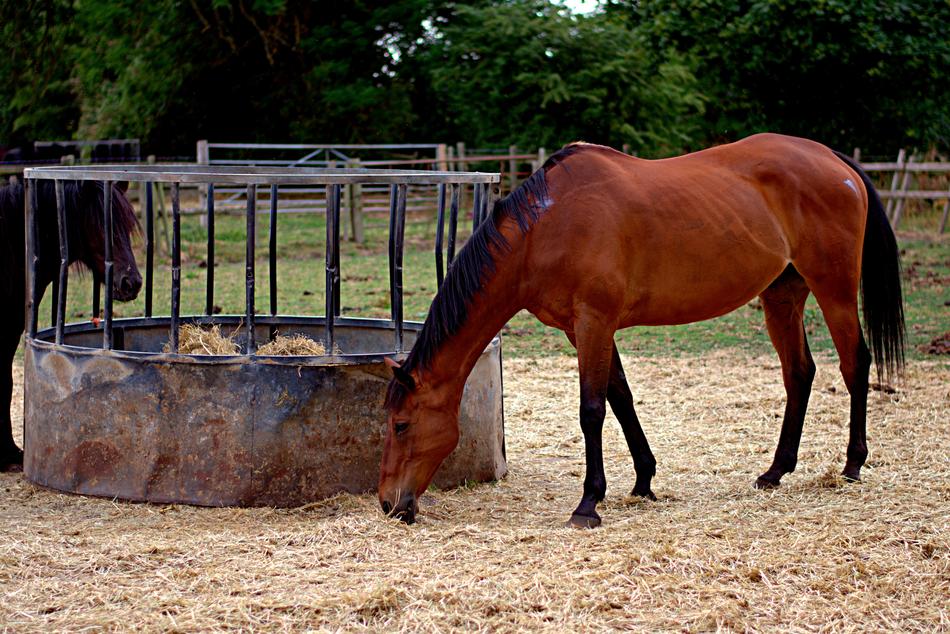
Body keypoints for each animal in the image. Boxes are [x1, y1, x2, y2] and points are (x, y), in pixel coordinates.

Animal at [378, 133, 904, 527]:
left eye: (401, 424)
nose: (389, 503)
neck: (547, 226)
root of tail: (833, 159)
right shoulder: (583, 329)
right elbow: (621, 398)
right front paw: (643, 481)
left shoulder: (594, 321)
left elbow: (592, 409)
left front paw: (588, 504)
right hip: (782, 296)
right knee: (799, 373)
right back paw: (775, 471)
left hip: (834, 288)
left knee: (855, 364)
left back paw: (853, 463)